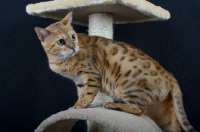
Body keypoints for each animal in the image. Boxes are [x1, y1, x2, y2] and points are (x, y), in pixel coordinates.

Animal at [34, 11, 195, 132]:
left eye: (73, 37)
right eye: (61, 41)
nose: (74, 48)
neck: (59, 61)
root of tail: (169, 74)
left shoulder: (91, 74)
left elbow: (87, 94)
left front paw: (79, 106)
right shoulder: (79, 80)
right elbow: (82, 93)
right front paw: (80, 105)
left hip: (127, 87)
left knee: (139, 109)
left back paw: (113, 105)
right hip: (165, 115)